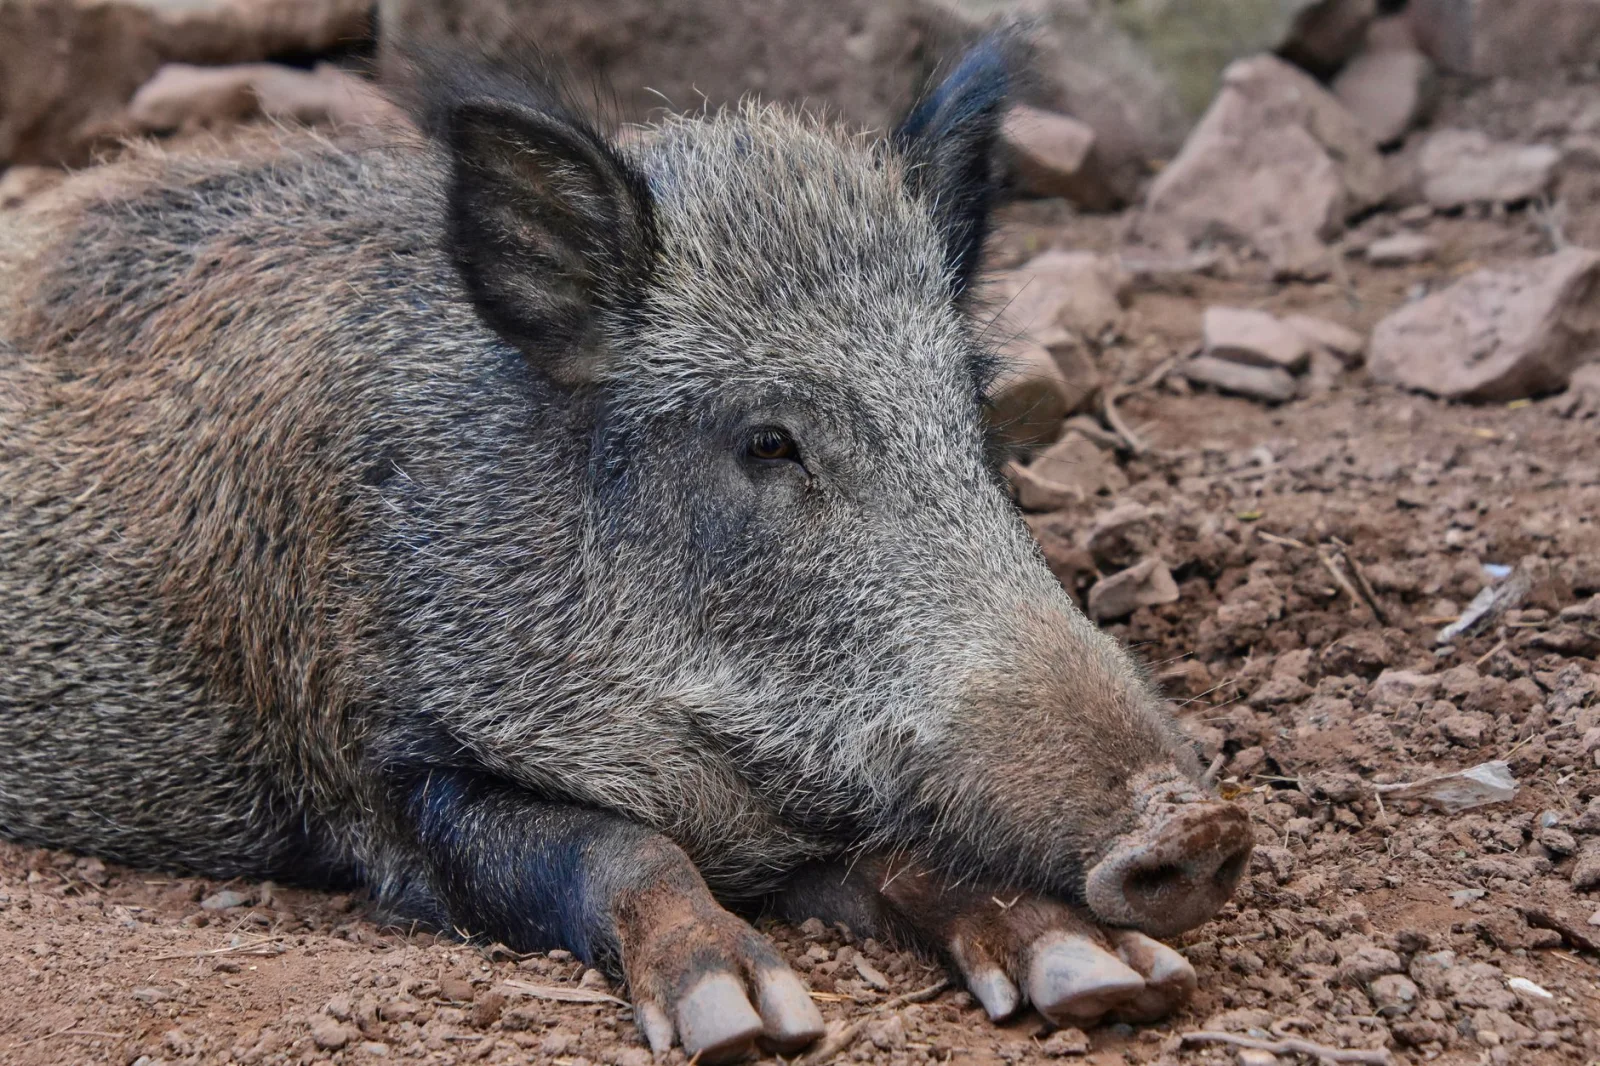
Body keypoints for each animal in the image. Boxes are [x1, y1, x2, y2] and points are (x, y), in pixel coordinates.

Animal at [0, 40, 1251, 1061]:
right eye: (767, 441)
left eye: (976, 422)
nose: (1197, 824)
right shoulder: (384, 783)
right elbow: (617, 849)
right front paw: (743, 1020)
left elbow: (905, 854)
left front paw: (1113, 981)